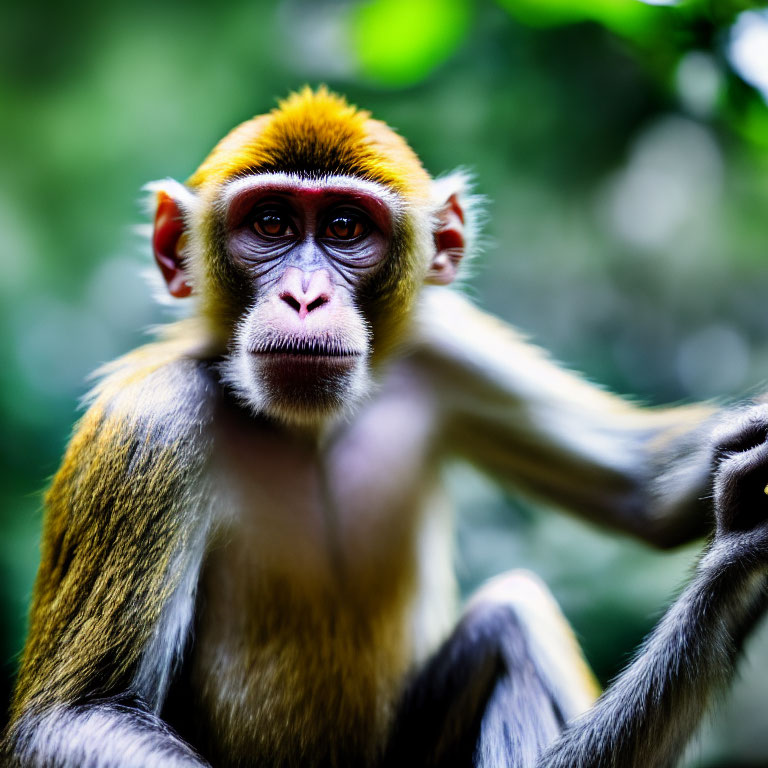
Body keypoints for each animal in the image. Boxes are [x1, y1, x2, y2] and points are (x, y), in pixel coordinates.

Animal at [3, 87, 740, 768]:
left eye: (345, 228)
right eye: (270, 223)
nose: (304, 297)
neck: (310, 428)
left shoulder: (445, 347)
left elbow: (642, 489)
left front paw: (732, 551)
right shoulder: (152, 426)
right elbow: (74, 719)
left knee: (512, 621)